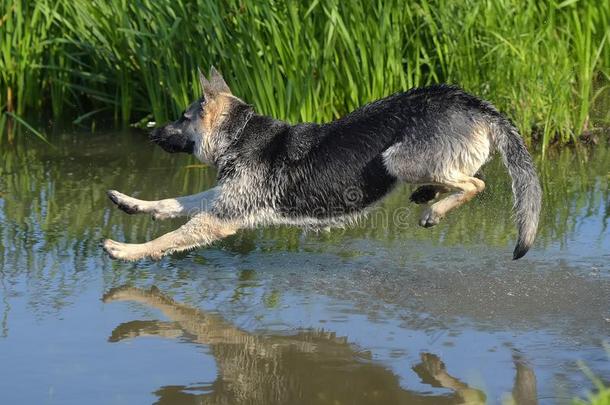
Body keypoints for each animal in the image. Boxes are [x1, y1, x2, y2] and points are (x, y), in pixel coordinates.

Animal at [102, 66, 540, 262]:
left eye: (181, 117)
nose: (152, 134)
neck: (239, 134)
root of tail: (475, 104)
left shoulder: (221, 217)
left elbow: (170, 237)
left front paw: (127, 250)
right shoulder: (220, 198)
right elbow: (170, 204)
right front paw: (131, 204)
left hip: (397, 158)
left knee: (476, 184)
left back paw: (434, 209)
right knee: (463, 178)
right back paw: (429, 195)